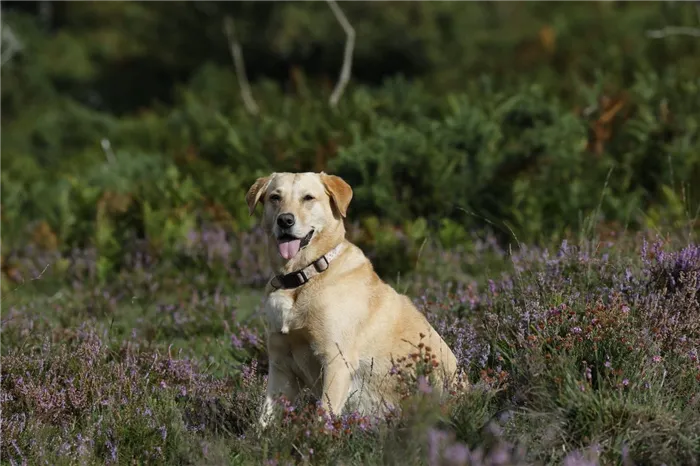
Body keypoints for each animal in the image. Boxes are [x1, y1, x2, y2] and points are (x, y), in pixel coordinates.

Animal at [246, 171, 460, 426]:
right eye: (275, 197)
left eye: (308, 198)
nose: (285, 221)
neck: (303, 277)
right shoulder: (281, 367)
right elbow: (265, 418)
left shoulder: (336, 361)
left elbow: (323, 417)